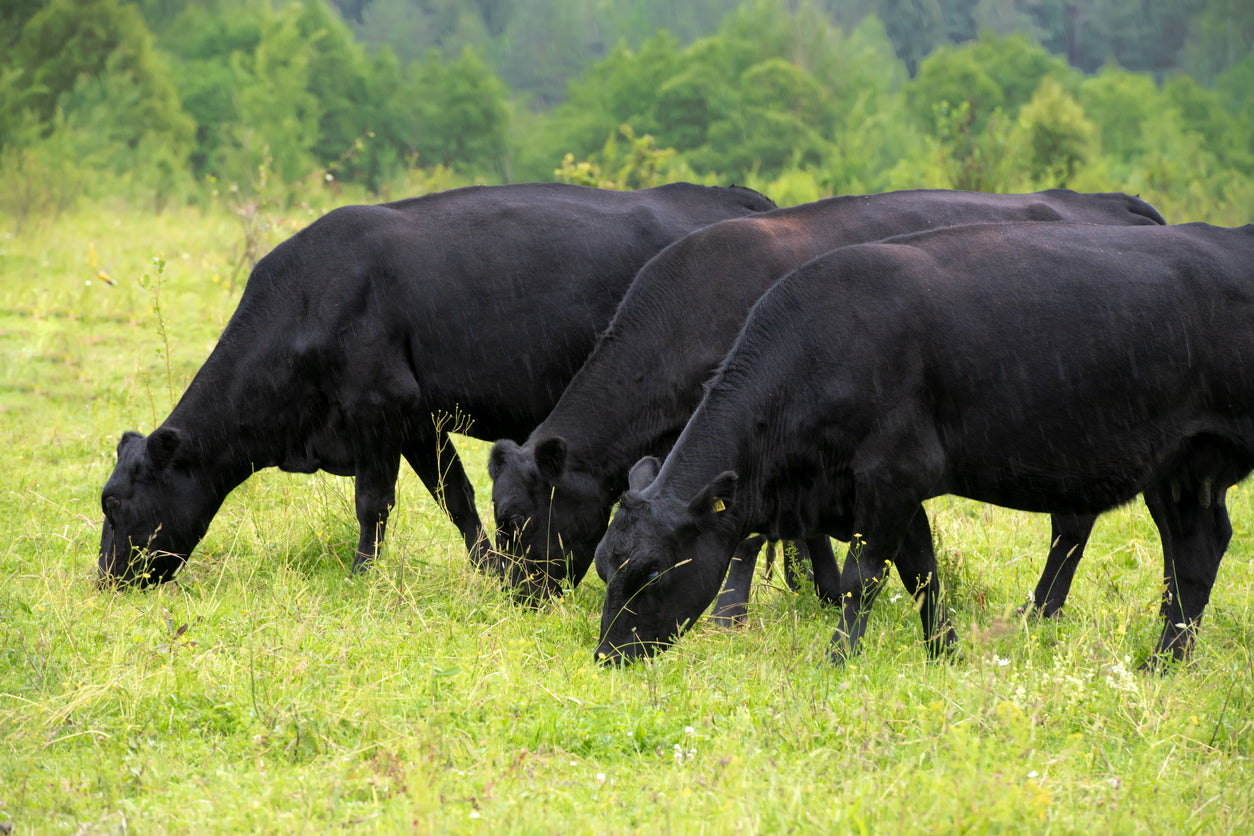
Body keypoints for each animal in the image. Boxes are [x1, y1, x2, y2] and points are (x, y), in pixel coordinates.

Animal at [97, 182, 776, 587]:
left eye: (112, 504)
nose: (103, 581)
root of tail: (734, 197)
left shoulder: (377, 407)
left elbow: (372, 502)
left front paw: (362, 576)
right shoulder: (418, 419)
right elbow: (458, 498)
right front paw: (489, 569)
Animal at [489, 189, 1168, 609]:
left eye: (518, 519)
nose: (519, 598)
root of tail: (1110, 201)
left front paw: (735, 611)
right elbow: (803, 530)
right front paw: (817, 588)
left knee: (1072, 523)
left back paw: (1040, 613)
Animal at [594, 221, 1254, 668]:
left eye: (652, 572)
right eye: (604, 566)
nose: (607, 656)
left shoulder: (893, 476)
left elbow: (865, 577)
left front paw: (838, 659)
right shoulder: (887, 492)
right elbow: (923, 574)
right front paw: (947, 654)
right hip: (1180, 468)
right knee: (1194, 553)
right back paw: (1164, 662)